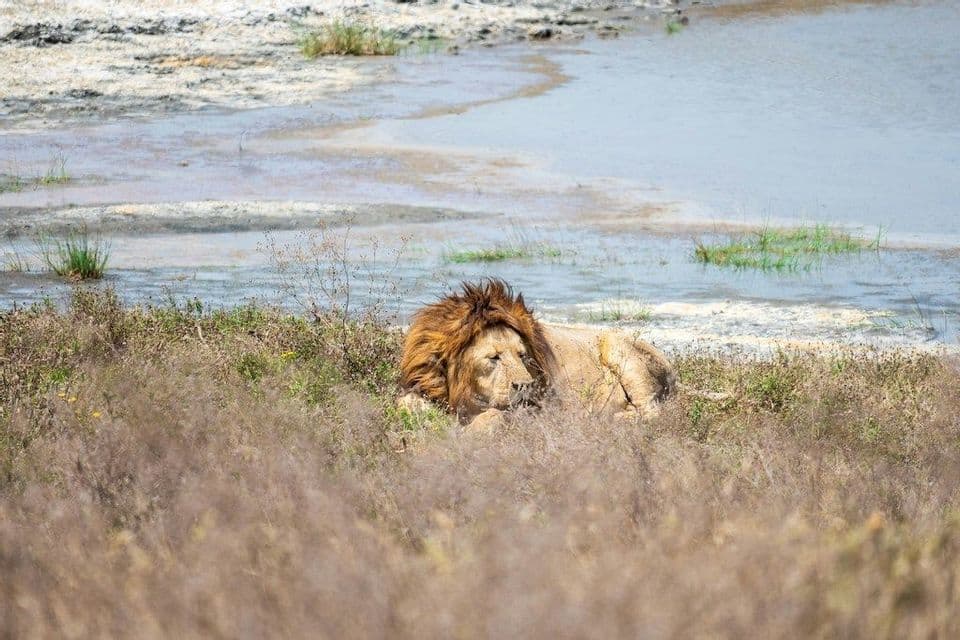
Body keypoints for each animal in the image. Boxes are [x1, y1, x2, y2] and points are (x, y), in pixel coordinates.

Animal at [399, 279, 676, 428]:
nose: (525, 385)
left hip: (621, 350)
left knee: (652, 414)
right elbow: (406, 403)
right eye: (494, 358)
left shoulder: (538, 409)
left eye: (523, 356)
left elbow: (493, 415)